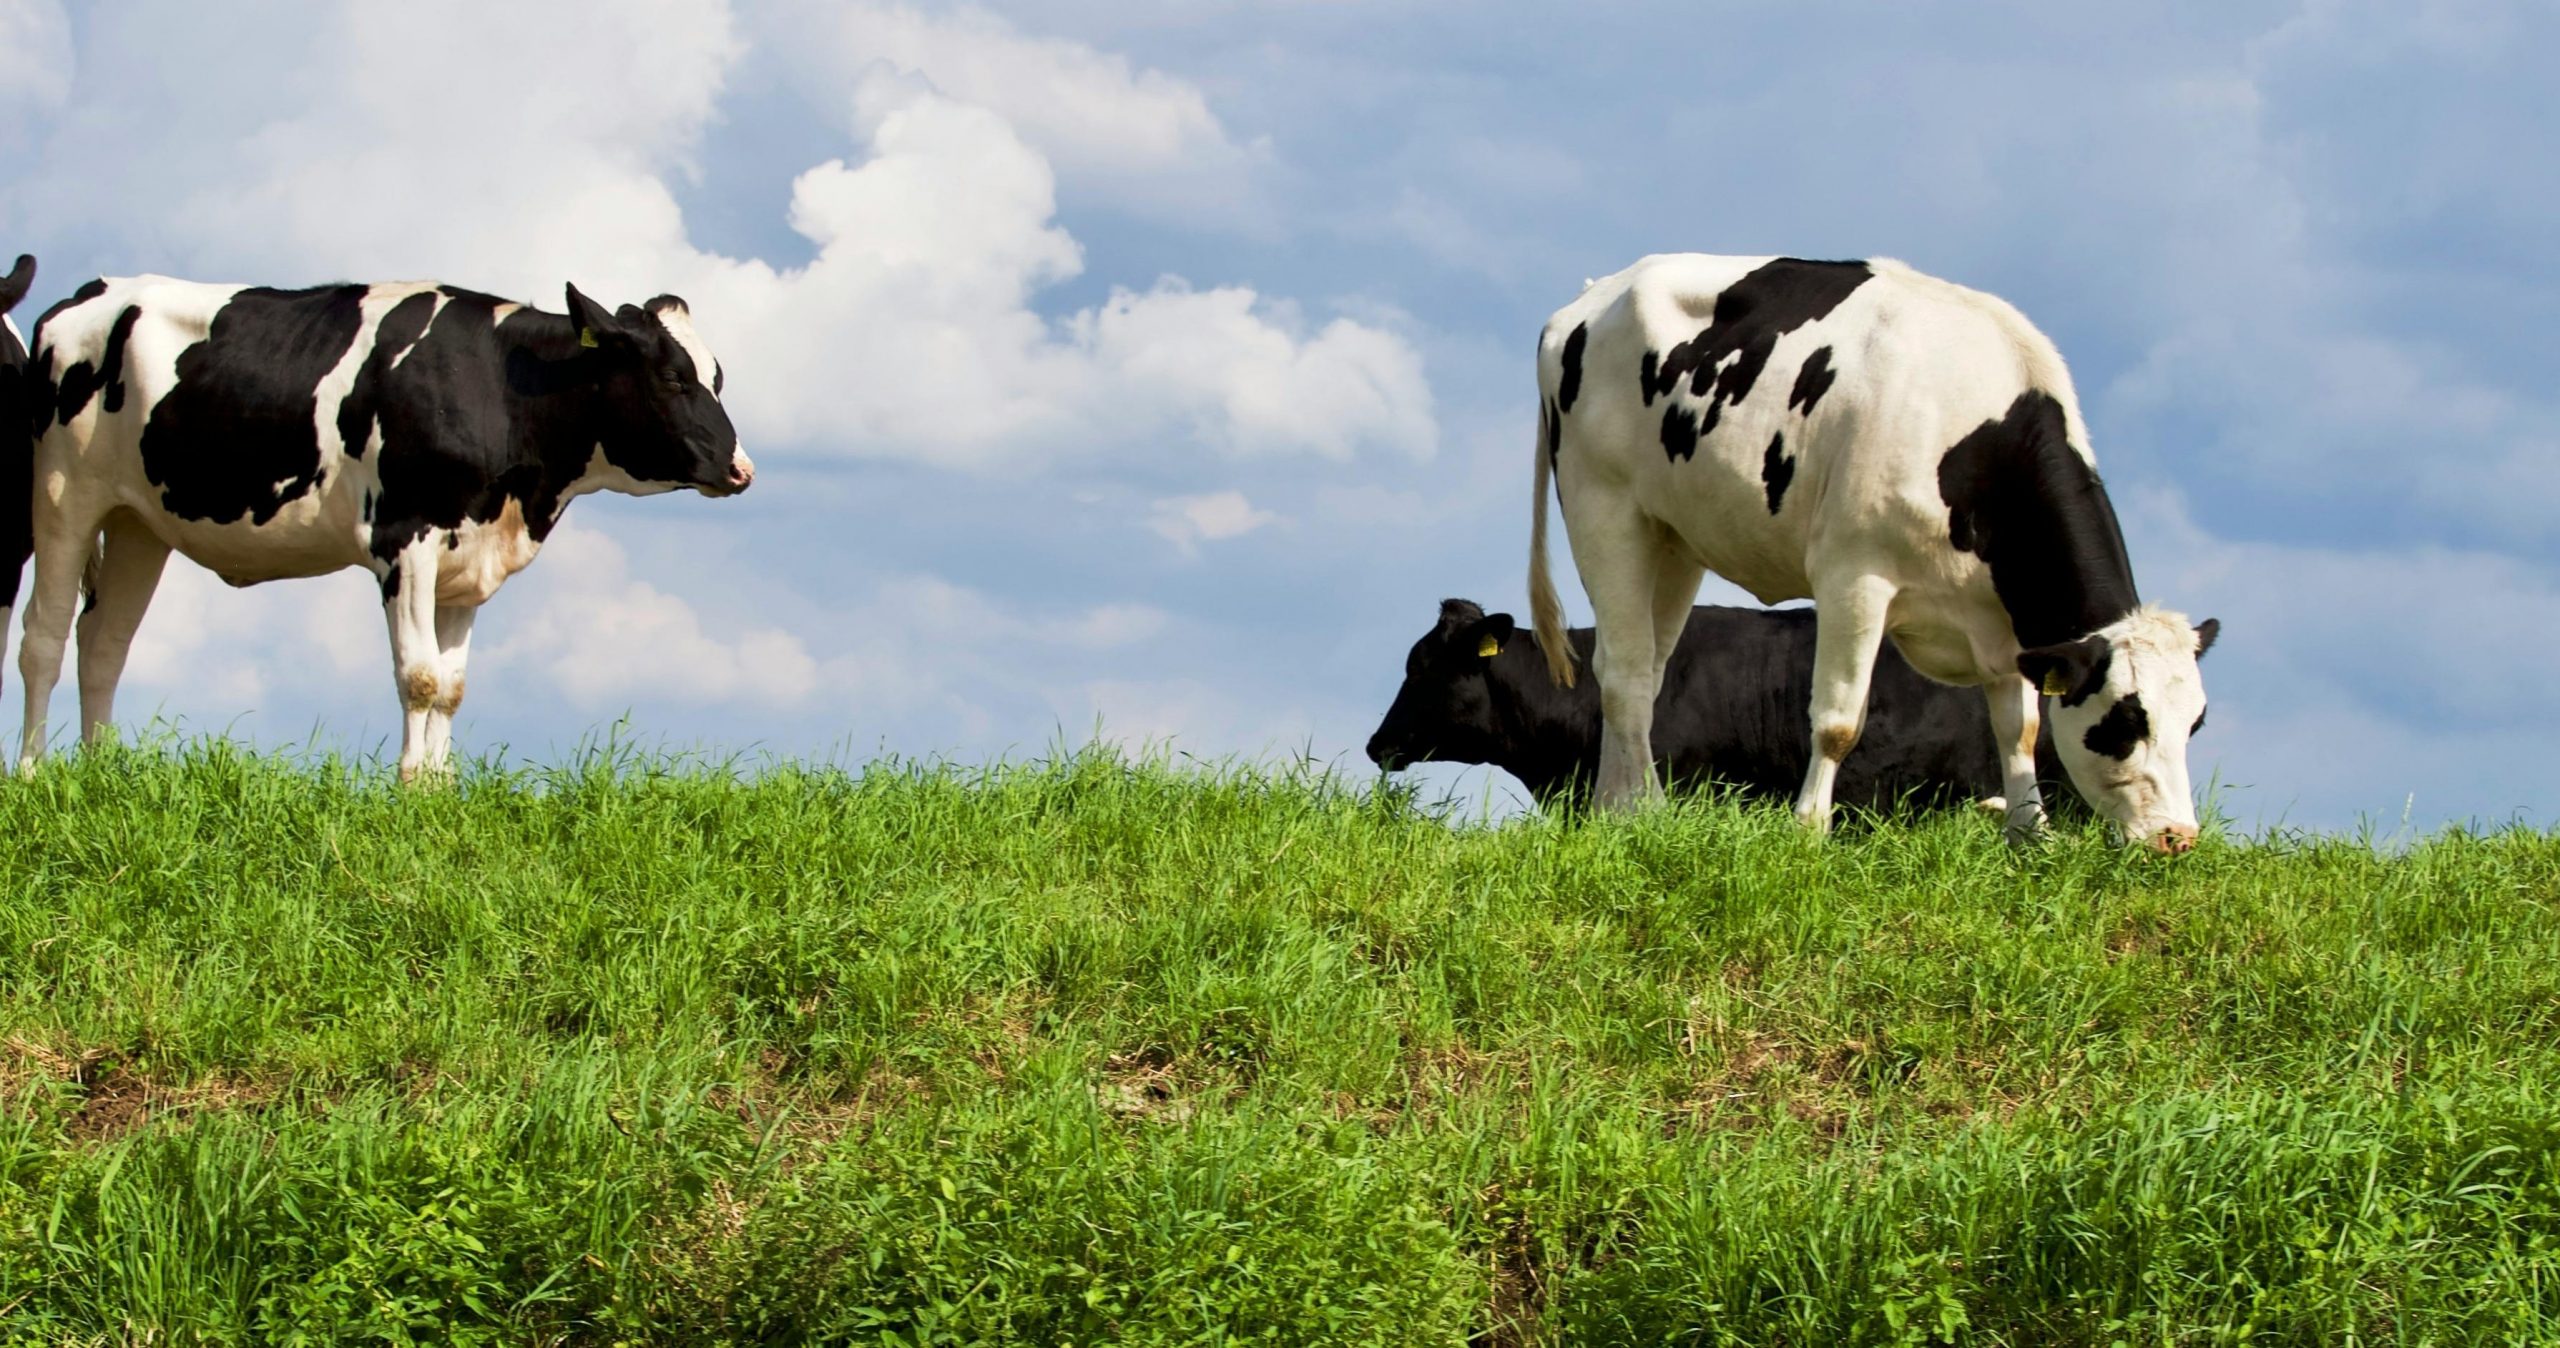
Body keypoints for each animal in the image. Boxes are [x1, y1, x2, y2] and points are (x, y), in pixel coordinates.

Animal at [6, 275, 753, 782]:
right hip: (64, 497)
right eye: (672, 377)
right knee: (43, 638)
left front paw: (440, 790)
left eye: (718, 375)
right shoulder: (406, 537)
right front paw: (410, 787)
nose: (740, 468)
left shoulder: (466, 559)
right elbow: (419, 676)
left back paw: (100, 775)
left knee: (104, 643)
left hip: (139, 522)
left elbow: (451, 686)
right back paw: (34, 773)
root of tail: (93, 292)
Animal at [1528, 255, 2216, 853]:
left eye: (2195, 723)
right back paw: (1644, 808)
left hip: (1672, 536)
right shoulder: (1853, 577)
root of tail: (1593, 295)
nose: (2177, 838)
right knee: (1621, 672)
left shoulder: (2002, 624)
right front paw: (1809, 831)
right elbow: (1838, 721)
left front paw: (2030, 836)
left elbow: (2017, 729)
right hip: (1603, 507)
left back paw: (1616, 810)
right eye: (2126, 721)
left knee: (1644, 671)